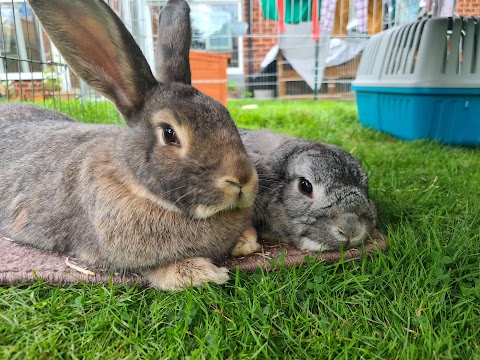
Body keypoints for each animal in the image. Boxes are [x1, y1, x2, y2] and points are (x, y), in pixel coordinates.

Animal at [0, 0, 260, 290]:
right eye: (169, 134)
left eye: (226, 115)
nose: (242, 179)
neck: (135, 184)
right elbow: (159, 270)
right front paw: (207, 273)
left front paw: (246, 242)